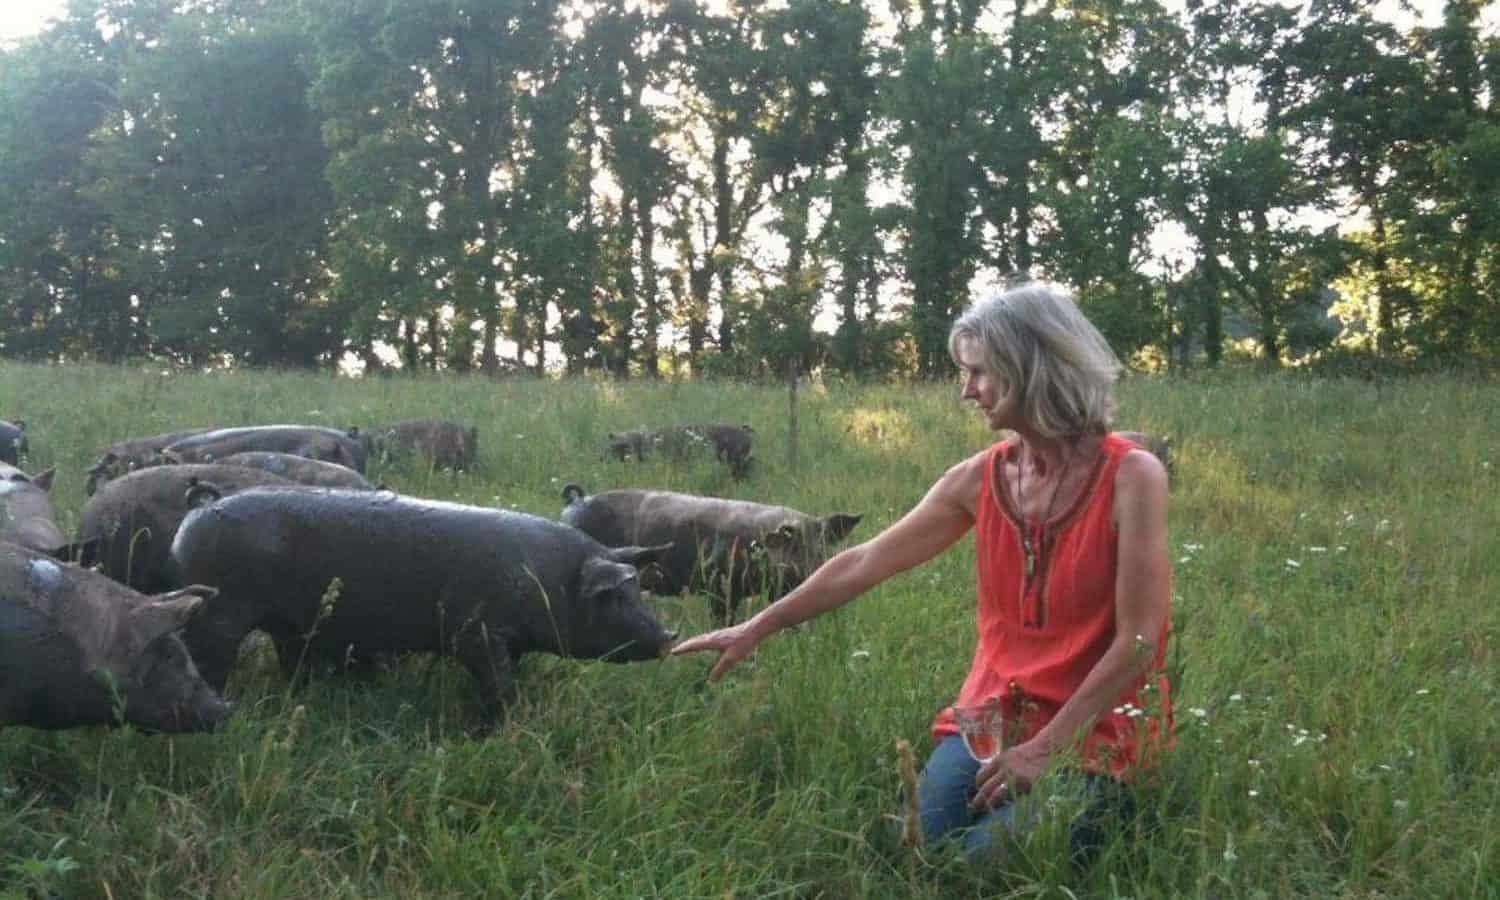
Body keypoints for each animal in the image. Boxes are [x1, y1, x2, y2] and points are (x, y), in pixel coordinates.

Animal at [168, 489, 675, 714]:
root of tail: (194, 515)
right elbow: (497, 683)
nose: (669, 634)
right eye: (613, 595)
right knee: (208, 657)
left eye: (638, 589)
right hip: (221, 611)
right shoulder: (475, 632)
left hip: (289, 624)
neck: (549, 580)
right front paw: (507, 723)